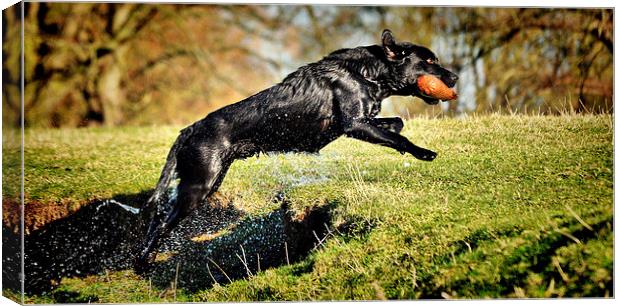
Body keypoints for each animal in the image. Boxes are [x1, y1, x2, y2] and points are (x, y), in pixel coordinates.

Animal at [134, 29, 456, 272]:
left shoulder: (360, 123)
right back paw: (142, 263)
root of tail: (189, 129)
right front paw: (423, 152)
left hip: (207, 181)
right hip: (199, 185)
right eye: (429, 60)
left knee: (158, 219)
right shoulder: (354, 125)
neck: (367, 73)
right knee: (161, 223)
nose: (454, 78)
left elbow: (397, 123)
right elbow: (399, 137)